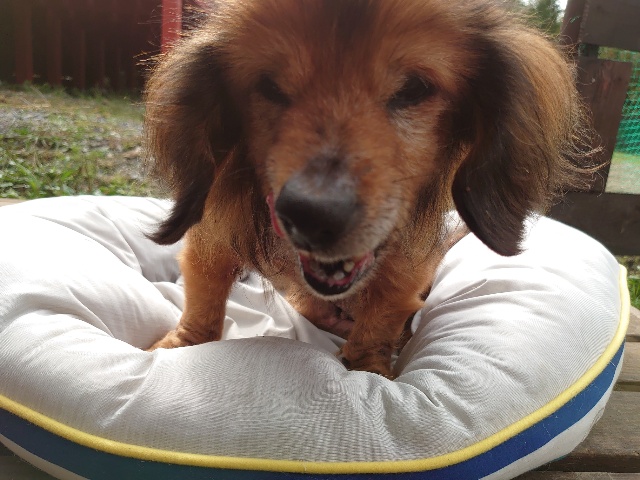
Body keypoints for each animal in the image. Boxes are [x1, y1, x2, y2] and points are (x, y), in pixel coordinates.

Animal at [145, 0, 593, 378]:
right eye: (269, 87)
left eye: (414, 89)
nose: (312, 217)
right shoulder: (212, 237)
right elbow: (203, 300)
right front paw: (179, 345)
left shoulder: (404, 264)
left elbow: (381, 317)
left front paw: (369, 371)